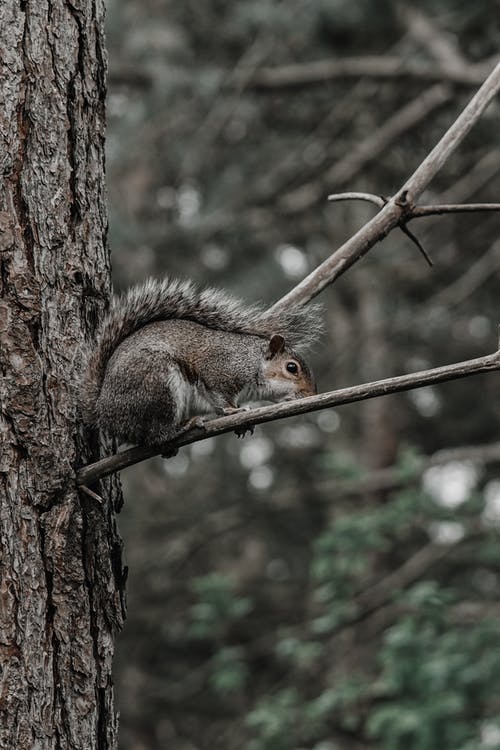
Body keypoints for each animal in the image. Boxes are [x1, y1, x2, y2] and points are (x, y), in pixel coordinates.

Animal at [80, 280, 318, 450]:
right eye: (291, 368)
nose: (312, 395)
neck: (252, 362)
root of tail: (102, 411)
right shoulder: (219, 370)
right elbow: (219, 396)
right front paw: (234, 411)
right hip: (156, 383)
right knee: (155, 434)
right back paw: (184, 426)